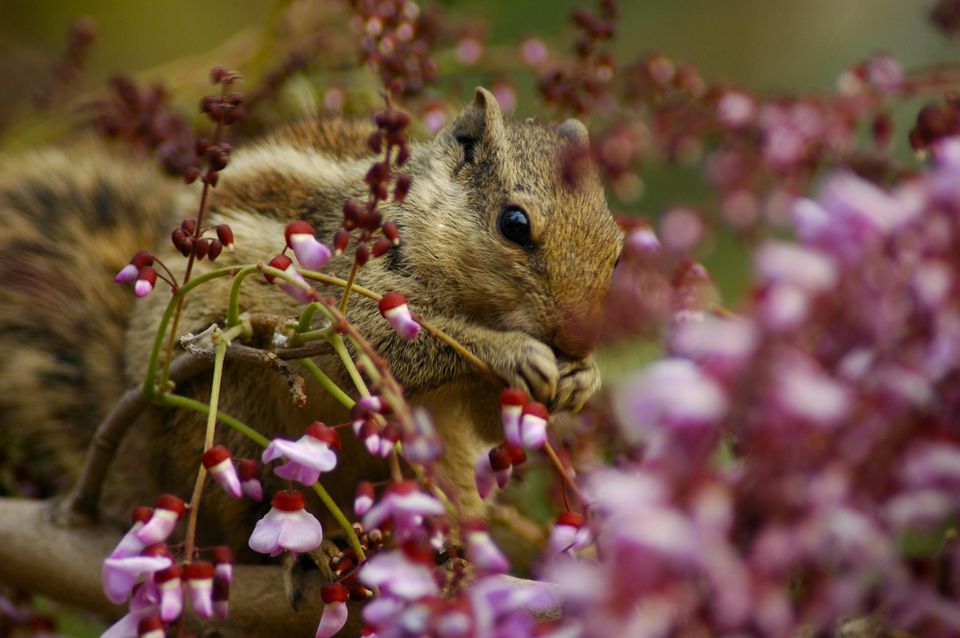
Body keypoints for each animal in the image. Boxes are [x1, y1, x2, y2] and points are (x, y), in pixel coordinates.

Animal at [0, 89, 624, 564]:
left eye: (617, 251)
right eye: (514, 224)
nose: (577, 341)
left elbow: (491, 424)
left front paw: (582, 378)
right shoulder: (354, 296)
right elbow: (385, 350)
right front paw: (512, 351)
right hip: (223, 426)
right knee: (243, 516)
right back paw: (306, 553)